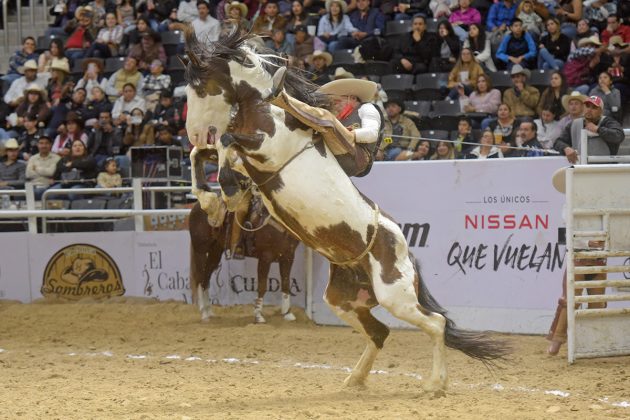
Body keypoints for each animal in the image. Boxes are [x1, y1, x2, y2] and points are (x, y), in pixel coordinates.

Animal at [180, 27, 512, 392]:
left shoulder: (264, 149)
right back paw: (355, 379)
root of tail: (406, 252)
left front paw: (227, 190)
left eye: (200, 86)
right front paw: (216, 198)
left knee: (435, 323)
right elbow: (205, 151)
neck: (265, 108)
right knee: (380, 332)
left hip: (396, 296)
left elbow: (225, 142)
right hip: (343, 299)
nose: (192, 131)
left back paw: (434, 384)